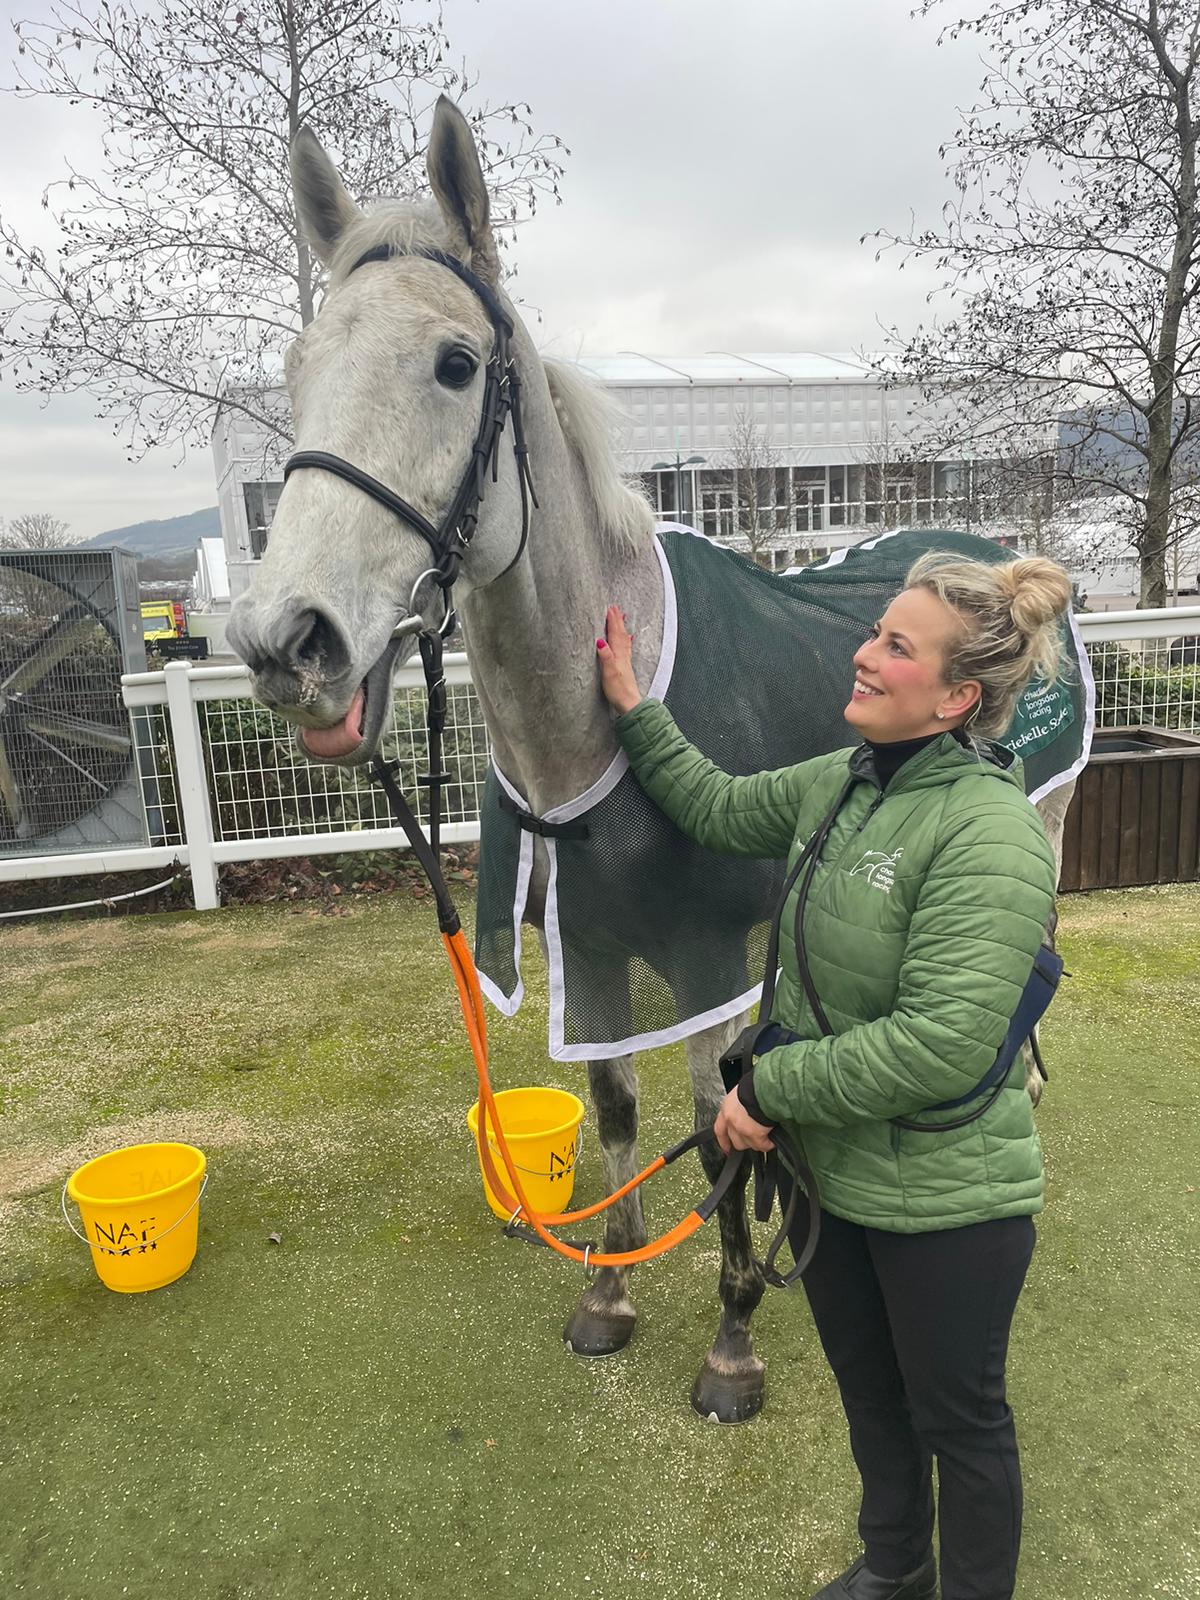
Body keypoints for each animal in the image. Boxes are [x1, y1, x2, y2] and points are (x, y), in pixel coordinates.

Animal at [227, 96, 1081, 1427]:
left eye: (455, 364)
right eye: (298, 371)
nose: (285, 640)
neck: (593, 739)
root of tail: (996, 557)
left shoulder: (704, 961)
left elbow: (712, 1117)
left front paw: (731, 1343)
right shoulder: (595, 950)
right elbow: (619, 1110)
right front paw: (610, 1291)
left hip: (1040, 822)